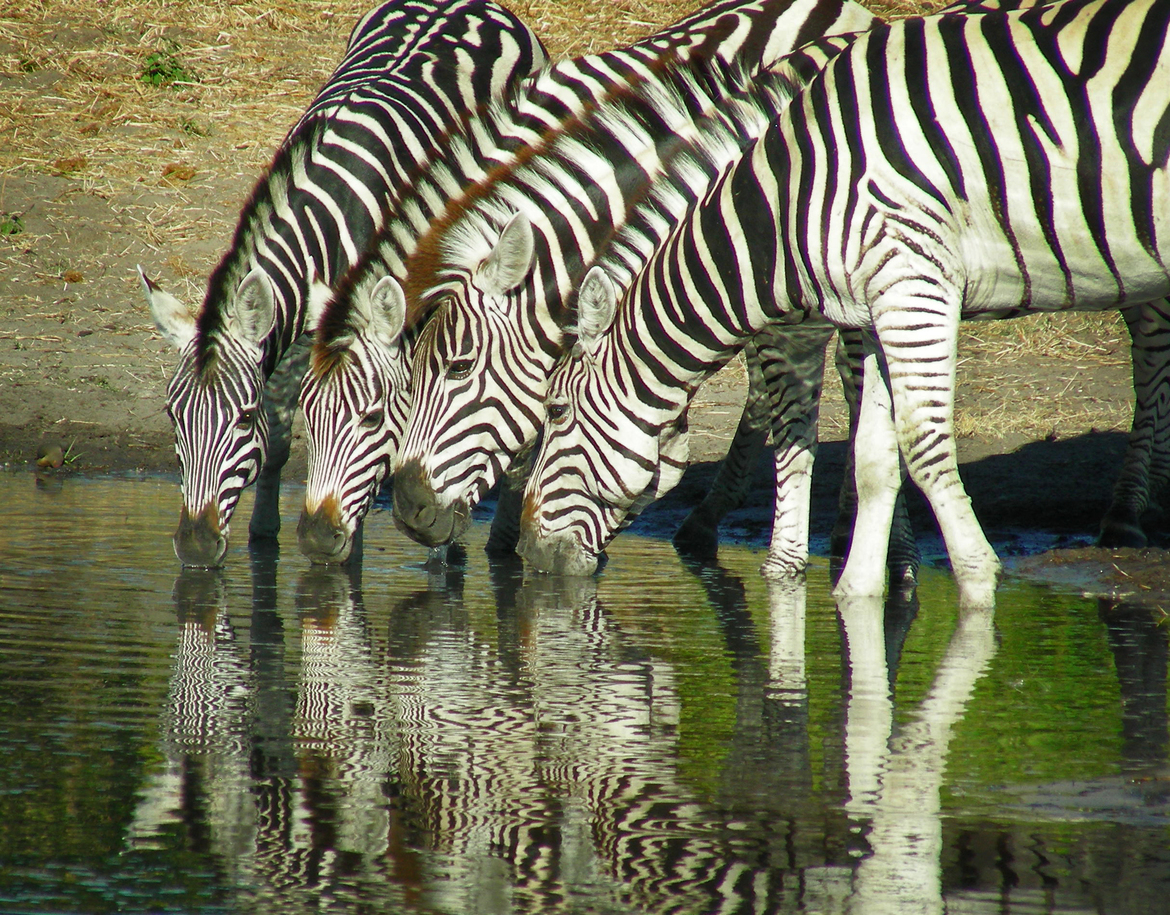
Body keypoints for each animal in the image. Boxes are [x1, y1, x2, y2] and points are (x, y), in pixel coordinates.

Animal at [137, 0, 546, 567]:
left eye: (242, 420)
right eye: (173, 418)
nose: (196, 548)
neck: (326, 217)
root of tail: (474, 4)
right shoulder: (296, 330)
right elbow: (281, 436)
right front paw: (264, 536)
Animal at [518, 0, 1170, 608]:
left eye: (555, 411)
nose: (527, 555)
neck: (786, 205)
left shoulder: (910, 281)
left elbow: (913, 443)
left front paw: (974, 582)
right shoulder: (877, 308)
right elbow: (874, 456)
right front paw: (859, 593)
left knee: (1150, 345)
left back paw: (1129, 513)